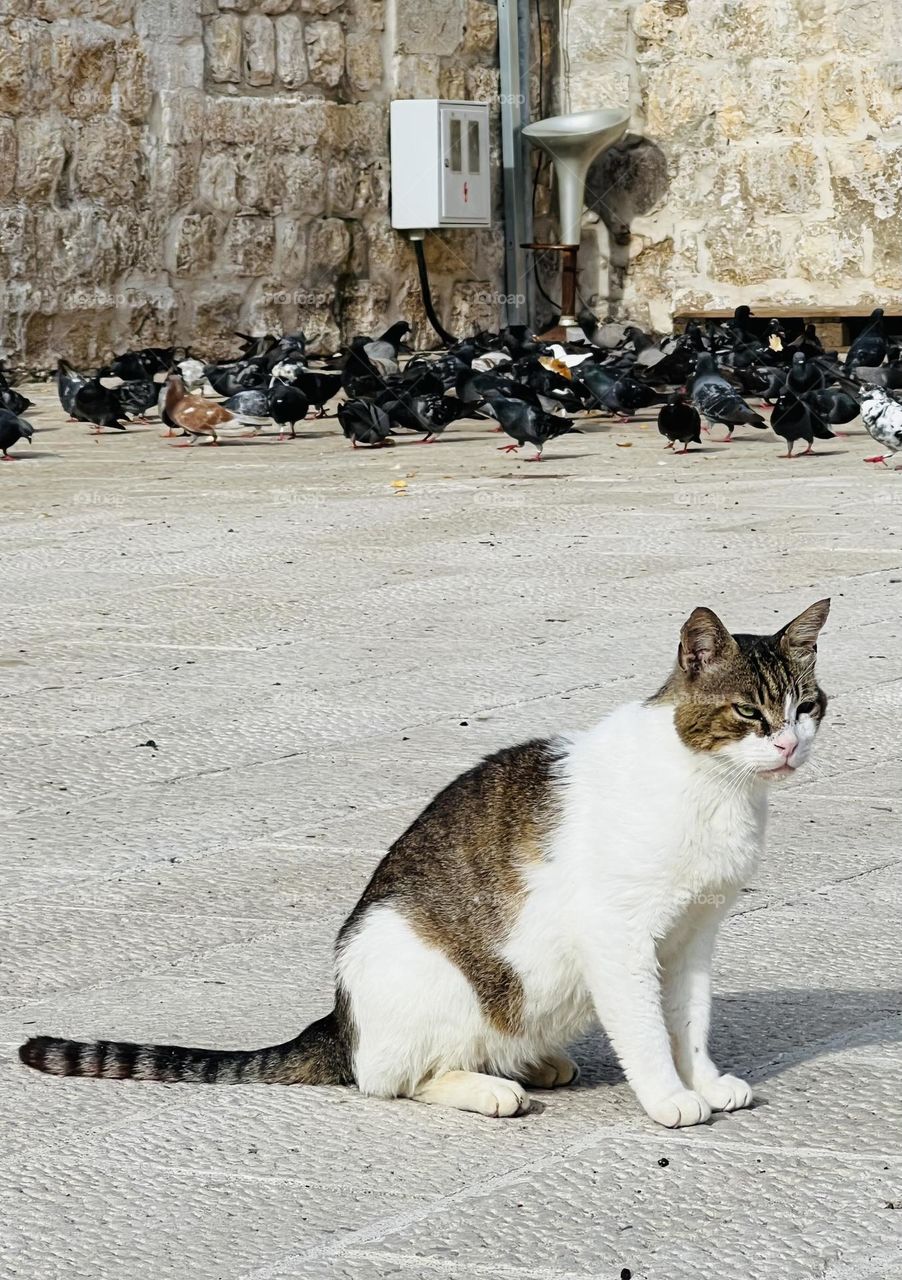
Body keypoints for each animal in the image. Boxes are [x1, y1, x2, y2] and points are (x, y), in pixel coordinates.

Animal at [17, 599, 829, 1131]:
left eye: (807, 706)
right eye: (750, 713)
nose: (789, 745)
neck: (716, 789)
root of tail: (339, 1020)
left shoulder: (693, 935)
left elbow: (688, 1021)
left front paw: (705, 1080)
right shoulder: (620, 936)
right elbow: (647, 1032)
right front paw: (668, 1097)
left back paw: (533, 1063)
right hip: (420, 965)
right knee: (389, 1078)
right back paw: (488, 1088)